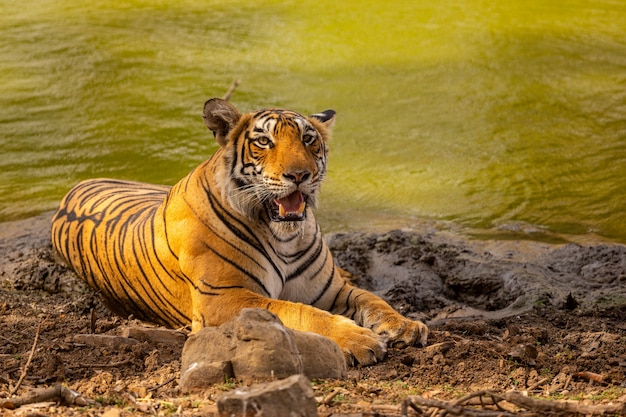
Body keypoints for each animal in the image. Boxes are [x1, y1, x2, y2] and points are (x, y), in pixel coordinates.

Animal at [51, 98, 426, 364]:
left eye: (308, 140)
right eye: (264, 141)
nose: (299, 175)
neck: (285, 236)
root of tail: (80, 184)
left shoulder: (330, 291)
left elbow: (372, 299)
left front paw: (406, 326)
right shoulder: (222, 299)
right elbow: (300, 312)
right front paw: (360, 340)